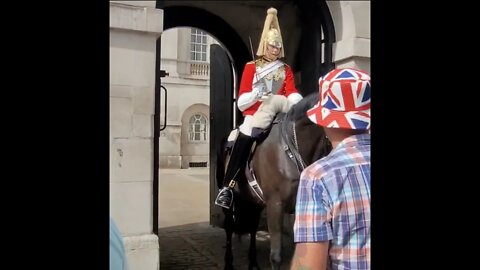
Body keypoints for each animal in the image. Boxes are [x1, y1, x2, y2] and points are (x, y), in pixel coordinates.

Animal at [216, 92, 332, 268]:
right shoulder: (275, 205)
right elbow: (276, 256)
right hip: (232, 201)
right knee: (229, 227)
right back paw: (229, 263)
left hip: (254, 201)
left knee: (252, 227)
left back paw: (253, 262)